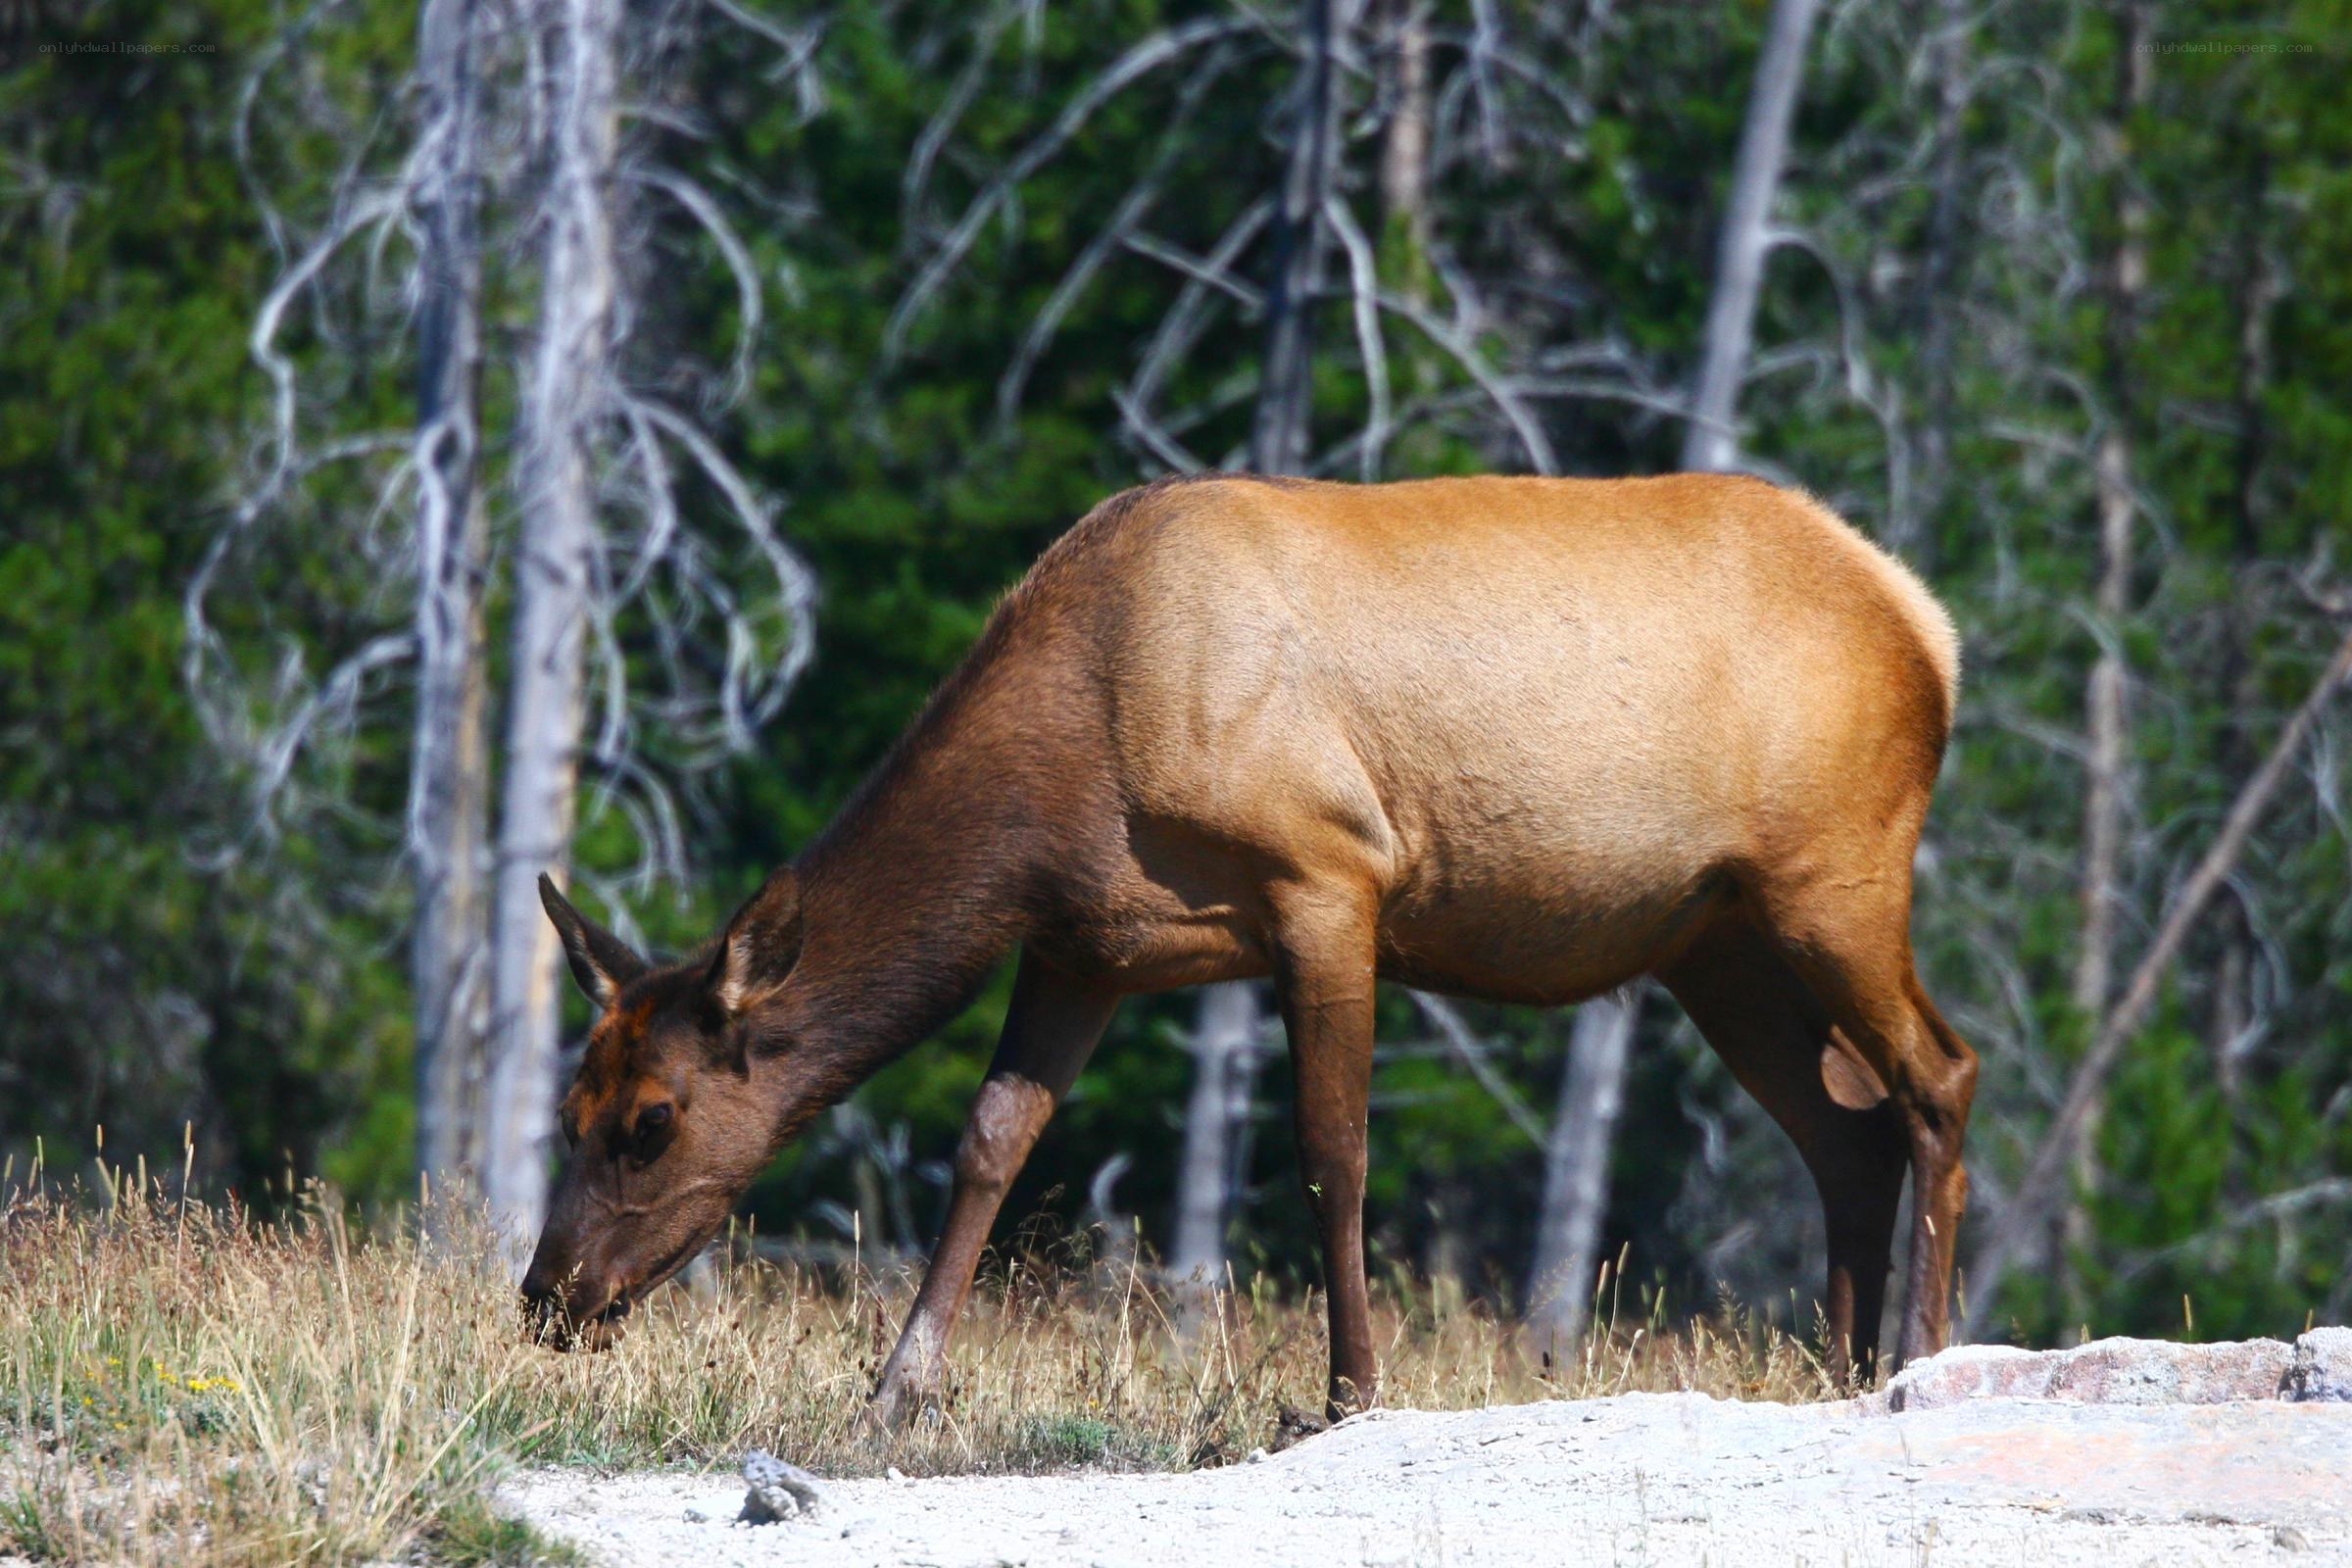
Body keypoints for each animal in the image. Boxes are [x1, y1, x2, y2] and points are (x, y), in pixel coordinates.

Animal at [520, 472, 1977, 1426]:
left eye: (651, 1119)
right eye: (568, 1108)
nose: (546, 1294)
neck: (1066, 770)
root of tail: (1931, 625)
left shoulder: (1328, 874)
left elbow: (1333, 1151)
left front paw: (1350, 1391)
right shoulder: (1088, 945)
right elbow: (991, 1140)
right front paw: (898, 1390)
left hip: (1836, 873)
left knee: (1940, 1074)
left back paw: (1922, 1358)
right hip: (1715, 938)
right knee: (1845, 1126)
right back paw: (1843, 1369)